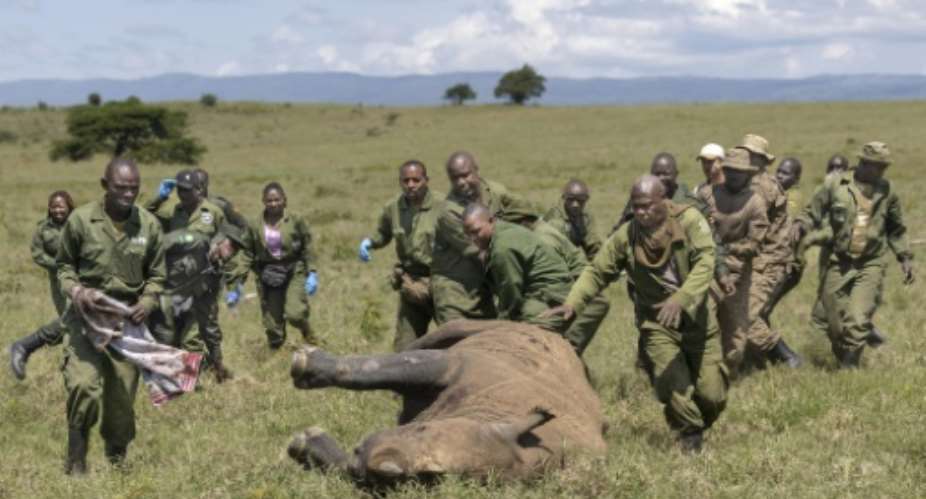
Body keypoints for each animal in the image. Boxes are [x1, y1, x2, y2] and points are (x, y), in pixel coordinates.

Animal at [287, 319, 606, 484]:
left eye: (429, 479)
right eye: (421, 431)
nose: (385, 466)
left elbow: (347, 469)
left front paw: (306, 443)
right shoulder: (456, 364)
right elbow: (375, 369)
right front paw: (306, 365)